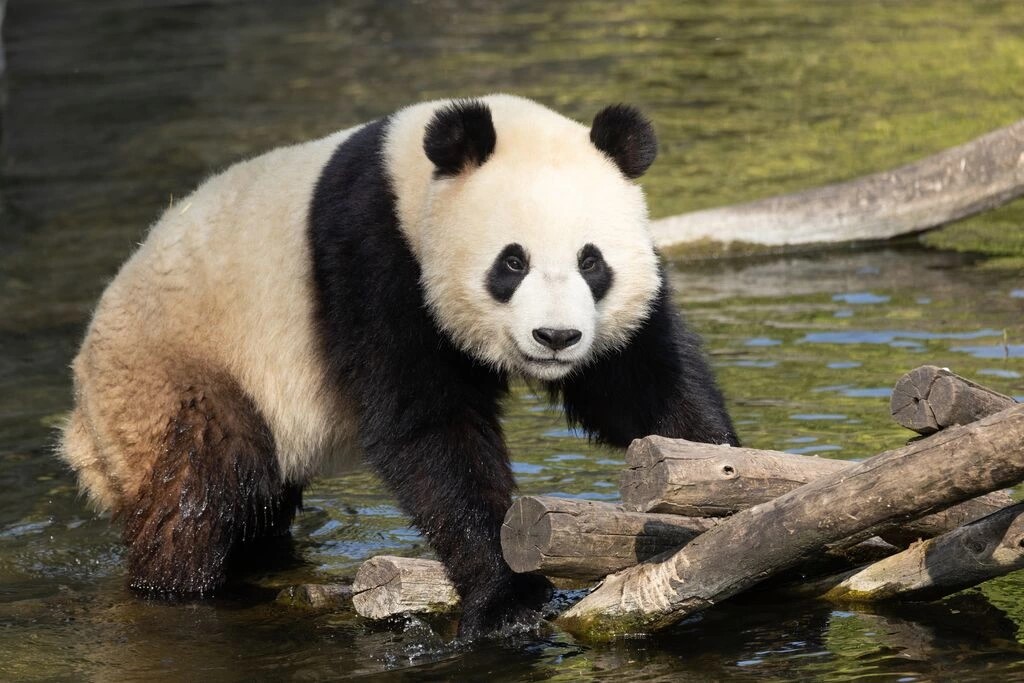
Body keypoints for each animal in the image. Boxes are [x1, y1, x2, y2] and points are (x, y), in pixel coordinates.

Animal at [59, 95, 738, 638]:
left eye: (591, 262)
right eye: (512, 261)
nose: (556, 337)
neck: (411, 181)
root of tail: (83, 418)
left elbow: (641, 389)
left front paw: (723, 479)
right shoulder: (373, 258)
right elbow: (428, 428)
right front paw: (510, 600)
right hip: (176, 370)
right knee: (204, 489)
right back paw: (185, 587)